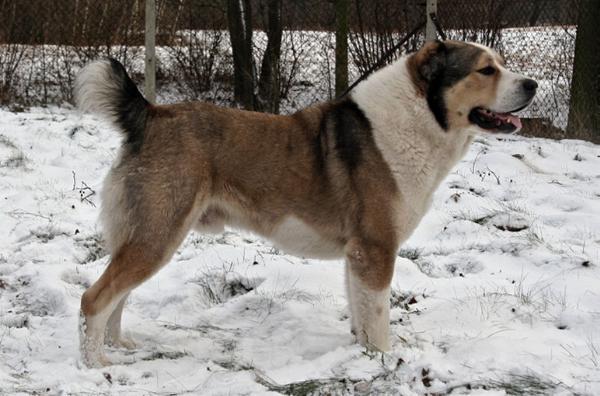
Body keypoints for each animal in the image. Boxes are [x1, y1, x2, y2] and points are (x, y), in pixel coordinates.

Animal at [75, 41, 540, 368]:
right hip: (157, 236)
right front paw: (385, 359)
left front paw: (362, 353)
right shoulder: (376, 250)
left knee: (117, 296)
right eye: (486, 69)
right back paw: (96, 364)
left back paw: (119, 346)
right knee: (94, 299)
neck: (421, 116)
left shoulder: (358, 255)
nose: (532, 85)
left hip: (146, 236)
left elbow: (361, 313)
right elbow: (379, 316)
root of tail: (150, 116)